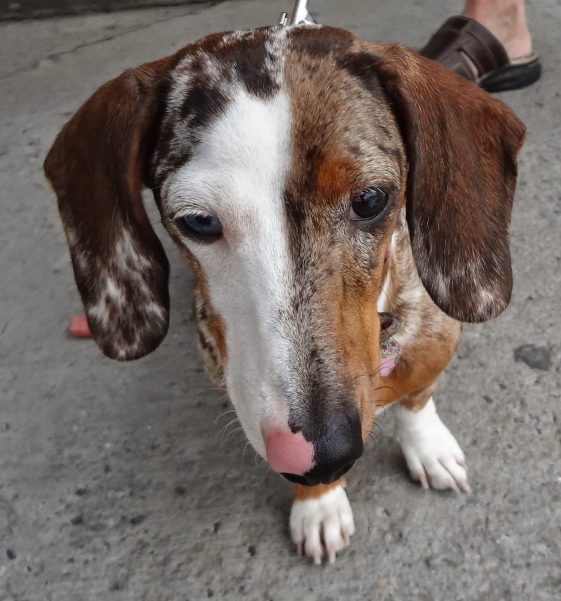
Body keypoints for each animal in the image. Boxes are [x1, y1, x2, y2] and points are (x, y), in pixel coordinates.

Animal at [44, 25, 524, 564]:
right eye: (198, 222)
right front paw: (319, 504)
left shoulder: (432, 338)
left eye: (371, 200)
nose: (321, 454)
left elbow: (417, 398)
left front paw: (427, 445)